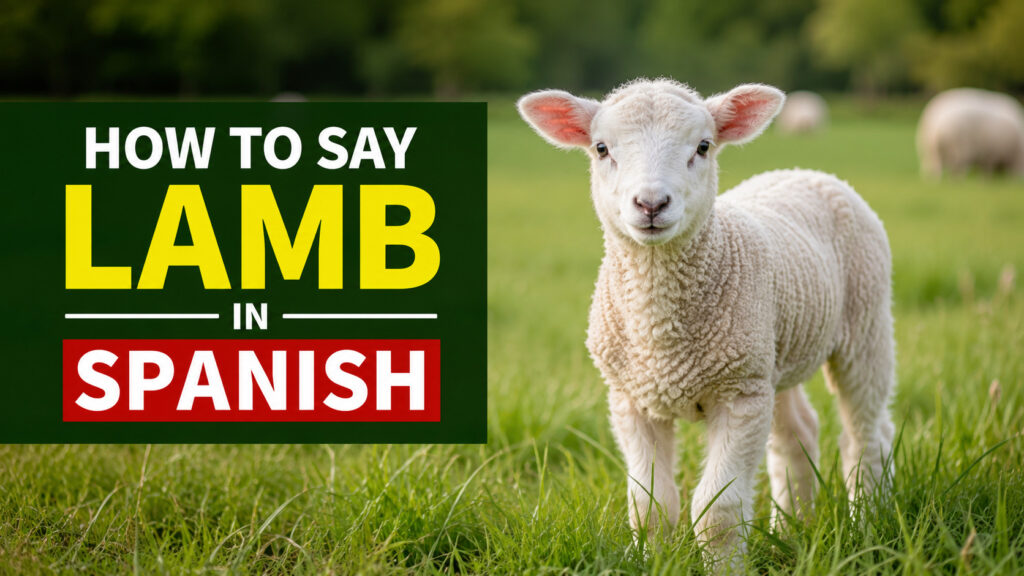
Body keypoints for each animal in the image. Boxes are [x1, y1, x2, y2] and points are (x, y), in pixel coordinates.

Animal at [518, 79, 895, 570]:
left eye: (703, 146)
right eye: (601, 148)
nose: (651, 203)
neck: (660, 333)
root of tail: (808, 171)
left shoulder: (738, 394)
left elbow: (718, 512)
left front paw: (725, 569)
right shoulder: (632, 399)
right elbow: (650, 507)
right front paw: (652, 562)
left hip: (865, 325)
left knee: (867, 436)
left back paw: (866, 523)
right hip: (773, 353)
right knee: (798, 434)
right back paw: (794, 528)